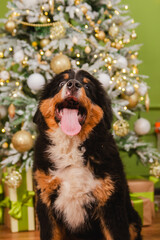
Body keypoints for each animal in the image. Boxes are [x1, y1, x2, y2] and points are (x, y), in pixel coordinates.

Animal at [33, 69, 142, 240]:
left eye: (87, 85)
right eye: (61, 83)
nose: (73, 84)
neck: (71, 146)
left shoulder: (111, 202)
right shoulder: (46, 201)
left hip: (133, 221)